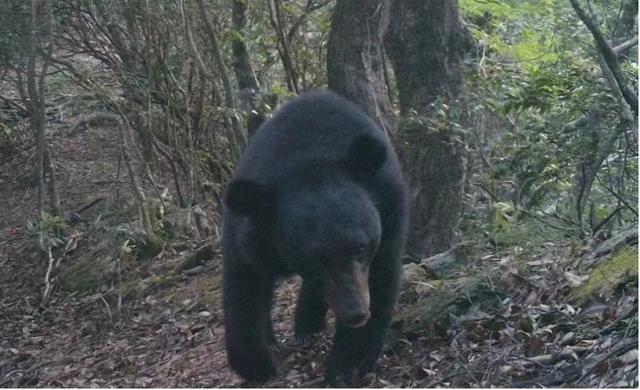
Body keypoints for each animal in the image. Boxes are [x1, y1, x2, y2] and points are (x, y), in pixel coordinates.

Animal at [222, 90, 408, 382]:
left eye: (362, 248)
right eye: (312, 260)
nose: (356, 313)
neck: (308, 165)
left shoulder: (389, 213)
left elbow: (381, 279)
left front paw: (348, 366)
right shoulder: (250, 237)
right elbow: (244, 287)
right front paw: (258, 363)